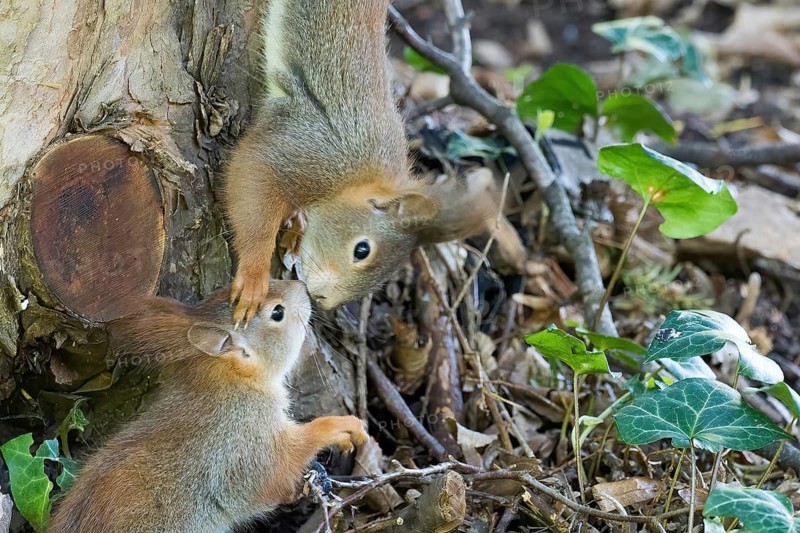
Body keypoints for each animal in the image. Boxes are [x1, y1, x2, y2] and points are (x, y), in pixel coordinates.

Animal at [48, 280, 368, 533]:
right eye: (277, 312)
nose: (302, 286)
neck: (228, 383)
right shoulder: (242, 438)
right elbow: (274, 471)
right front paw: (338, 428)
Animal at [224, 0, 499, 325]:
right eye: (362, 250)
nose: (323, 301)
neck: (360, 177)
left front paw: (297, 223)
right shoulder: (311, 148)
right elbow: (253, 178)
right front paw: (255, 278)